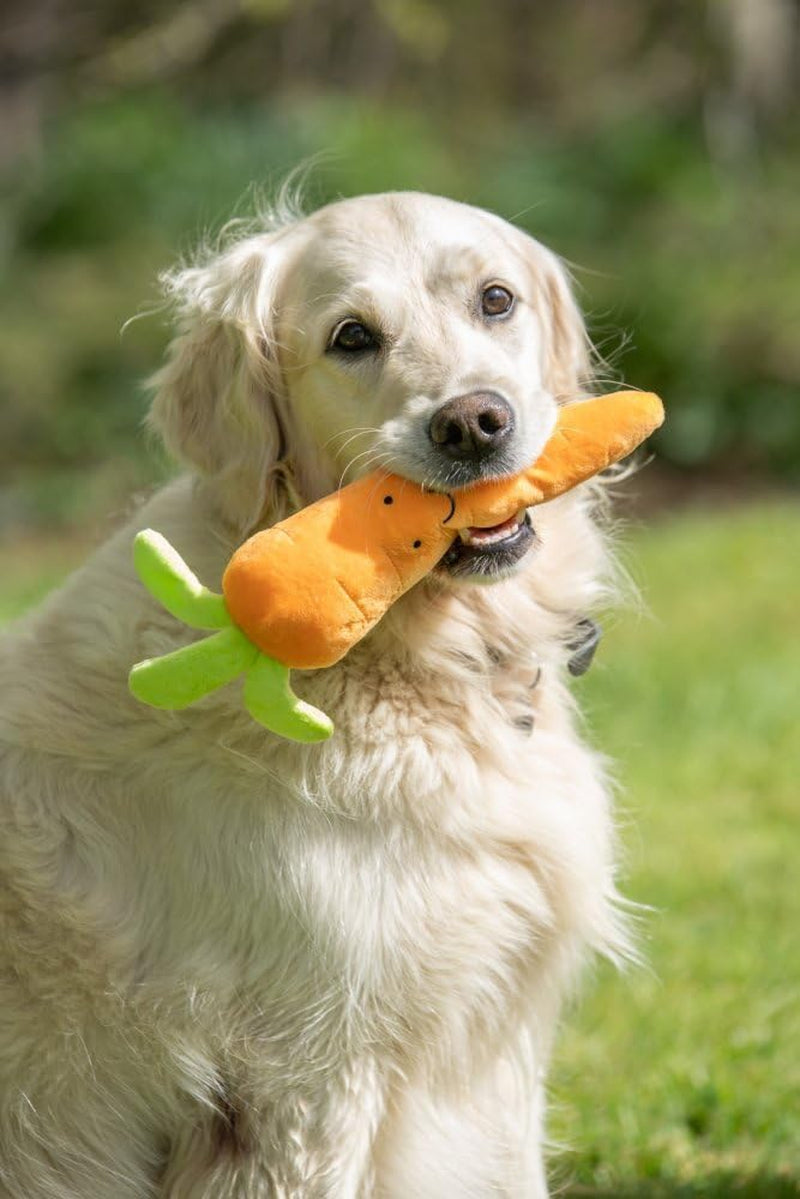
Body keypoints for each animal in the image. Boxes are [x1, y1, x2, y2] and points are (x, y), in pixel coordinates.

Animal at [0, 191, 633, 1194]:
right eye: (352, 337)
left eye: (496, 299)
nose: (473, 422)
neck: (414, 662)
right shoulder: (302, 1075)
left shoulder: (494, 1041)